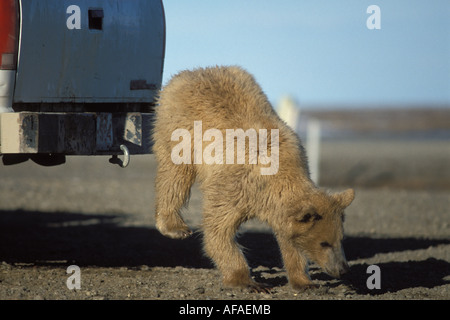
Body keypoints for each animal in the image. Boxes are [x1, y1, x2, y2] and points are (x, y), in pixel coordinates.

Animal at [152, 66, 356, 292]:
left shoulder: (276, 205)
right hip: (180, 129)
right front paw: (248, 281)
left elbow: (289, 241)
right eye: (324, 243)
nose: (343, 269)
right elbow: (219, 228)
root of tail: (192, 71)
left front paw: (305, 282)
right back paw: (174, 226)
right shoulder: (236, 186)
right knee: (175, 174)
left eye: (341, 239)